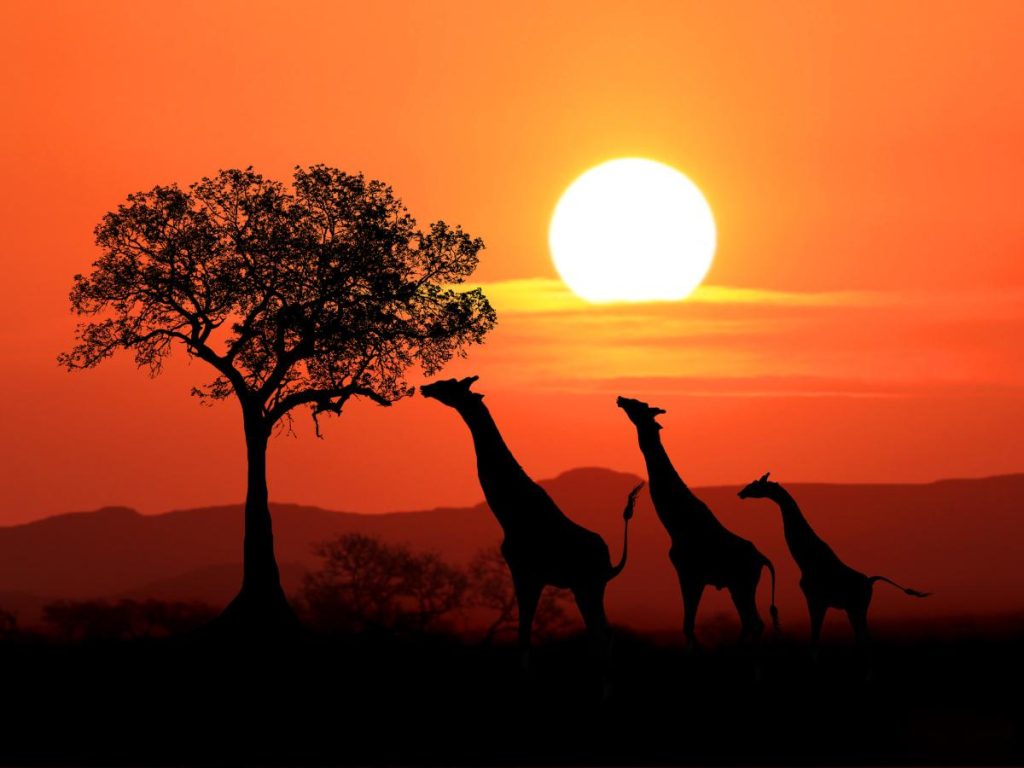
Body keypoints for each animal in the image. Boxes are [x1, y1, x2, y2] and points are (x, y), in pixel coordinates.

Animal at [421, 376, 643, 673]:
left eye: (450, 384)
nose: (426, 388)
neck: (512, 513)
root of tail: (610, 563)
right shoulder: (528, 574)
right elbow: (524, 634)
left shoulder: (526, 572)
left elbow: (524, 636)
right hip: (586, 587)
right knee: (602, 635)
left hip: (588, 586)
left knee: (602, 635)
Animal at [616, 396, 778, 649]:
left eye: (638, 405)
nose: (621, 399)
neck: (677, 524)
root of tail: (761, 559)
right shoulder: (692, 576)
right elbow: (688, 626)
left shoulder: (690, 574)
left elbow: (688, 626)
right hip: (737, 587)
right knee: (751, 624)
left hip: (743, 585)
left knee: (755, 623)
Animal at [737, 472, 930, 659]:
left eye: (756, 484)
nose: (741, 493)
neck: (806, 561)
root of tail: (870, 581)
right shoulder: (819, 602)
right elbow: (815, 640)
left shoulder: (816, 600)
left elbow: (815, 640)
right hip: (854, 610)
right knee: (864, 640)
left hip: (857, 608)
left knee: (866, 641)